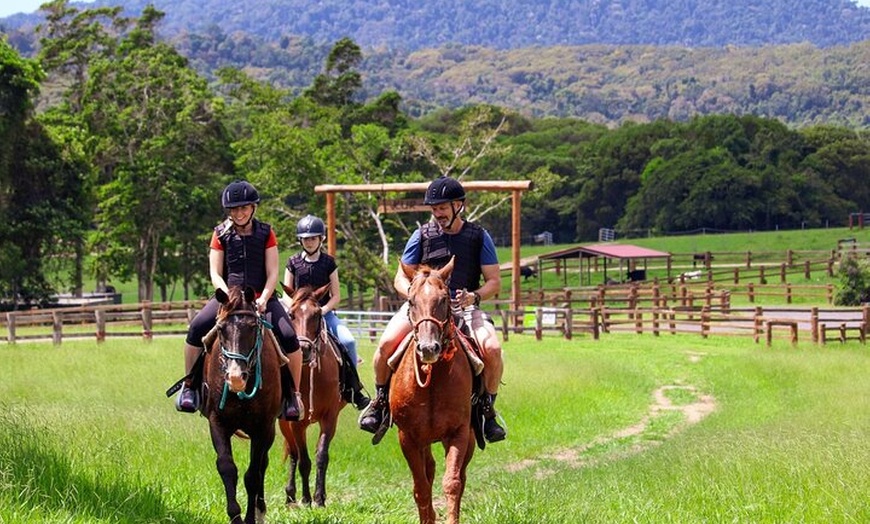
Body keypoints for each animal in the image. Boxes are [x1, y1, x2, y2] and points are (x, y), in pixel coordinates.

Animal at [204, 286, 282, 524]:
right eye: (221, 329)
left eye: (253, 327)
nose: (236, 377)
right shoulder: (217, 422)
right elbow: (227, 467)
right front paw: (235, 515)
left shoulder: (262, 427)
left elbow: (253, 475)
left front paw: (249, 518)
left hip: (270, 430)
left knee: (263, 464)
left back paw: (260, 509)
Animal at [280, 284, 348, 506]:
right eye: (291, 314)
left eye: (317, 314)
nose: (304, 348)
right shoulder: (296, 423)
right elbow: (303, 460)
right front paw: (306, 498)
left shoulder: (330, 417)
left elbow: (321, 456)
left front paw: (319, 498)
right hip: (283, 423)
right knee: (293, 453)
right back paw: (291, 495)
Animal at [392, 258, 476, 524]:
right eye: (411, 301)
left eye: (445, 300)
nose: (429, 348)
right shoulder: (407, 437)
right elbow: (421, 488)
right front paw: (428, 516)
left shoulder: (459, 433)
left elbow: (453, 483)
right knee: (427, 473)